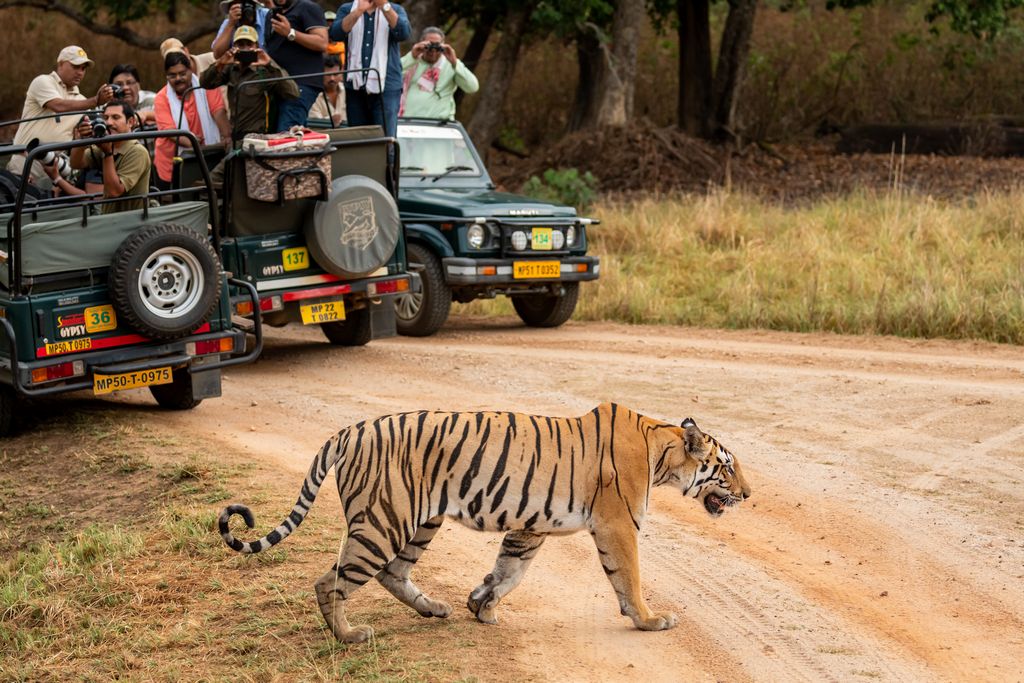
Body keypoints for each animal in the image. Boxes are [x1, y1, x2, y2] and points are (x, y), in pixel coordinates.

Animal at [218, 402, 751, 643]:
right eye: (727, 468)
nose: (749, 495)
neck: (662, 452)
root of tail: (349, 430)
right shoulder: (618, 525)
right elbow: (630, 579)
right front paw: (649, 620)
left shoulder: (531, 526)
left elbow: (508, 571)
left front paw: (480, 606)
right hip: (383, 521)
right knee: (330, 581)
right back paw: (349, 636)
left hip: (419, 521)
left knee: (393, 572)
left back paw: (434, 609)